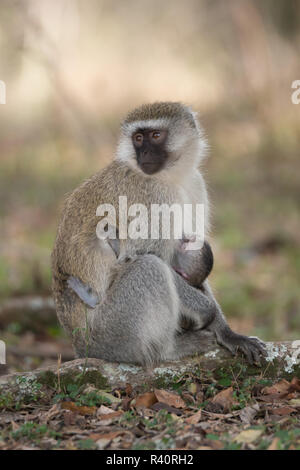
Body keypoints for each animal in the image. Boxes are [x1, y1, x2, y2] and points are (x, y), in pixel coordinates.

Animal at [51, 102, 264, 364]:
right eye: (138, 138)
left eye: (155, 135)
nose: (144, 154)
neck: (170, 177)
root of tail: (78, 345)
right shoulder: (152, 197)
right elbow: (138, 257)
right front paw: (209, 312)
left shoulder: (195, 183)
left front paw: (228, 332)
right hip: (110, 334)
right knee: (149, 267)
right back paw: (166, 351)